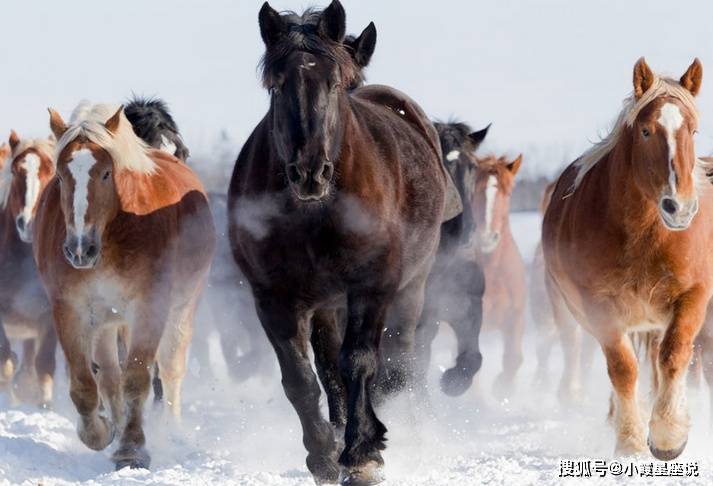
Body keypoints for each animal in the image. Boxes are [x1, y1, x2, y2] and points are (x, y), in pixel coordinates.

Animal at [35, 100, 214, 468]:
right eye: (59, 175)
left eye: (106, 173)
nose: (79, 249)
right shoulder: (70, 309)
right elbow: (86, 384)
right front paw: (101, 433)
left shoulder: (149, 308)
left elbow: (137, 378)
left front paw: (132, 449)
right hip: (107, 321)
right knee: (109, 376)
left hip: (180, 309)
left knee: (171, 370)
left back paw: (171, 430)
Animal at [544, 58, 708, 460]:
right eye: (647, 131)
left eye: (693, 130)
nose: (679, 207)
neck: (643, 235)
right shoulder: (600, 307)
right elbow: (622, 369)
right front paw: (631, 441)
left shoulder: (693, 296)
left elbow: (674, 355)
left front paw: (668, 436)